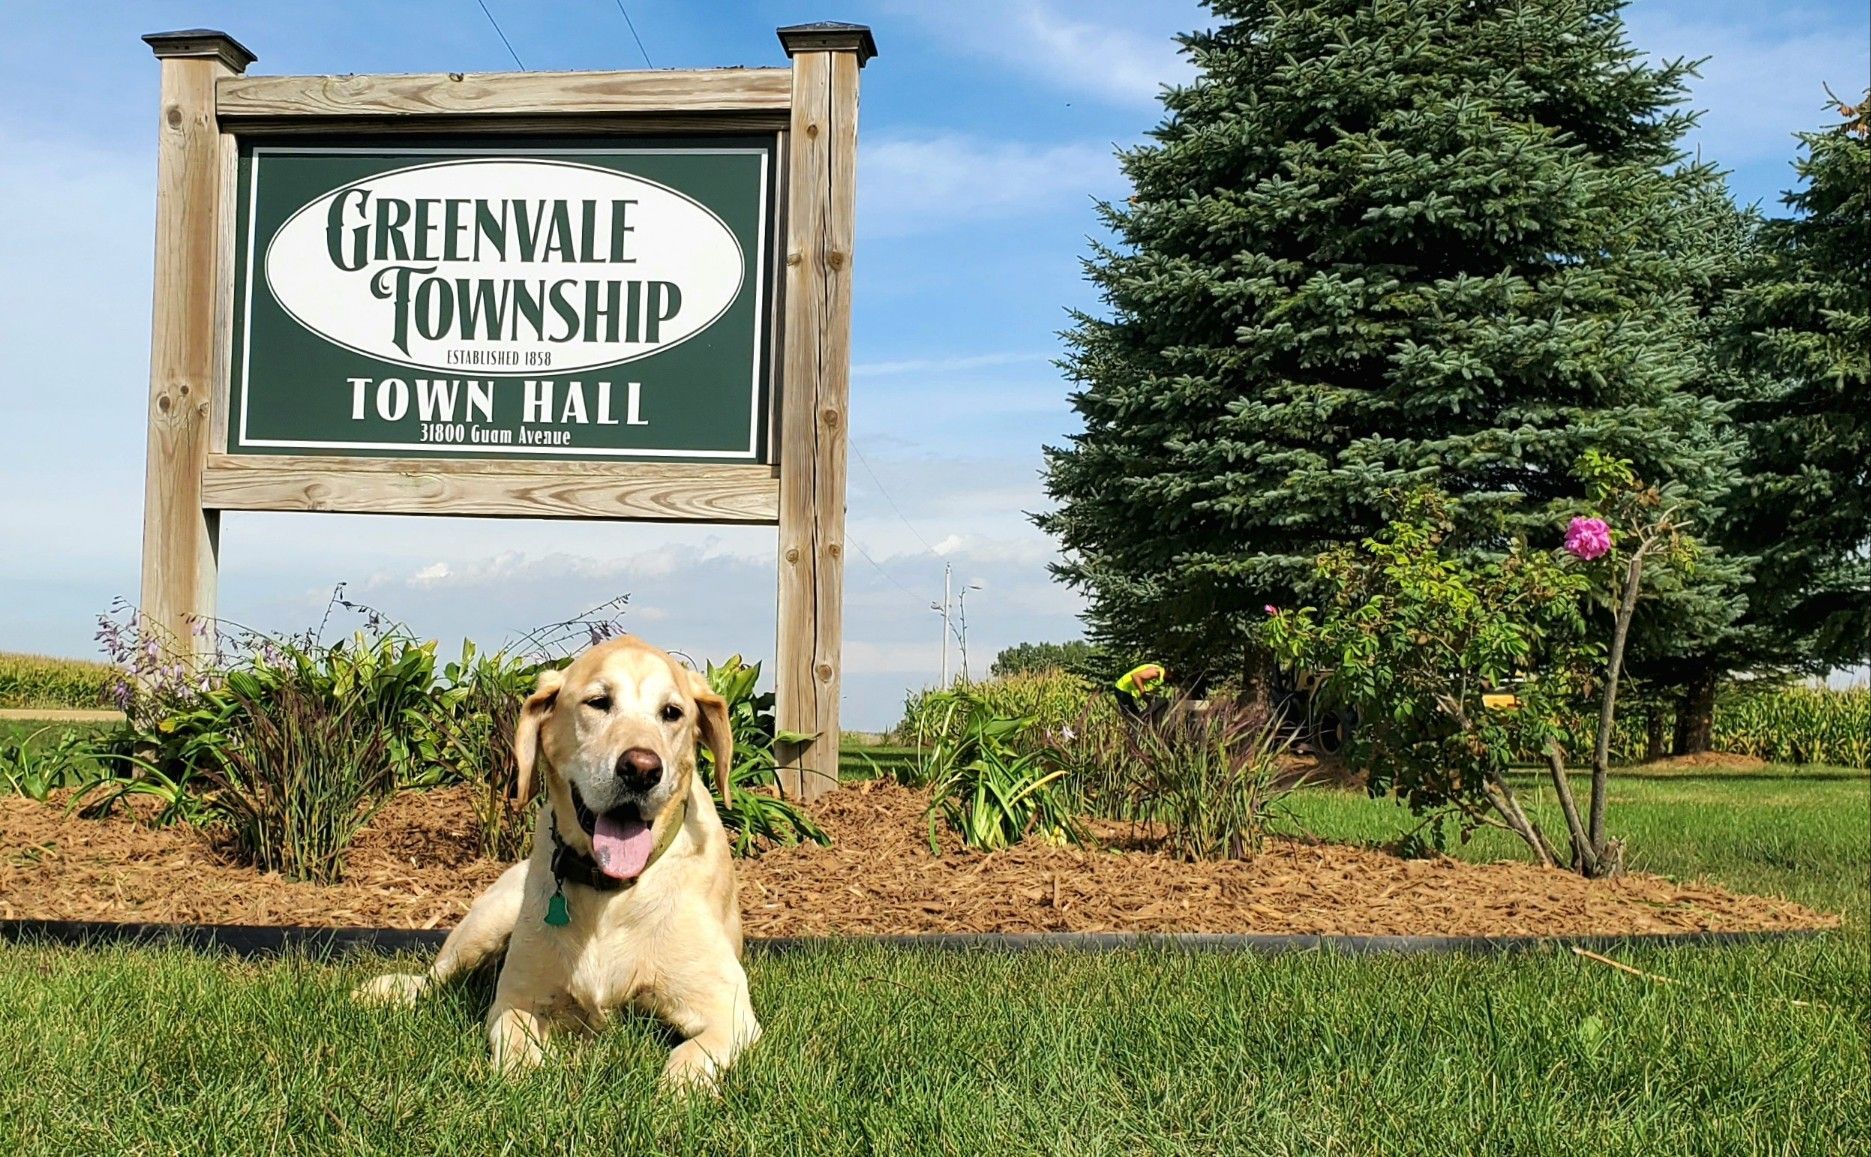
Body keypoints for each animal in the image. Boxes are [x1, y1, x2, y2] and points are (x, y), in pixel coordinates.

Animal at [351, 636, 759, 1085]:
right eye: (598, 702)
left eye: (672, 712)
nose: (641, 769)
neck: (611, 892)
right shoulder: (517, 997)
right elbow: (514, 1039)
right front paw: (524, 1071)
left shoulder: (729, 1010)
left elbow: (689, 1057)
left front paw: (678, 1089)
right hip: (486, 925)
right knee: (434, 979)